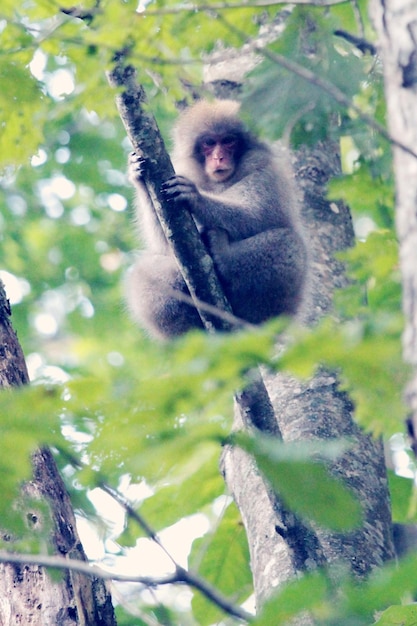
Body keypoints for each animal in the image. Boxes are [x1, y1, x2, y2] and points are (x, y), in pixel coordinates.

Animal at [125, 98, 308, 338]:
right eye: (209, 143)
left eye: (229, 141)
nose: (218, 158)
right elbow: (165, 243)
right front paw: (136, 174)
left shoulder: (265, 172)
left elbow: (259, 215)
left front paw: (196, 198)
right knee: (142, 274)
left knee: (289, 243)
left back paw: (224, 256)